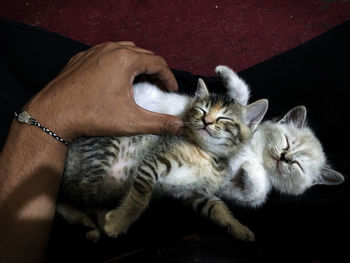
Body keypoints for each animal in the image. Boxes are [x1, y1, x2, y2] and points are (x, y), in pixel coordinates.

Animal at [59, 75, 268, 242]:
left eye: (224, 118)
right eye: (201, 110)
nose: (206, 121)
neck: (206, 154)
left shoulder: (193, 193)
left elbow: (217, 208)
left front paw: (239, 228)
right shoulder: (153, 160)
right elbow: (139, 196)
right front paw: (119, 221)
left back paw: (90, 224)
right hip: (104, 150)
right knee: (79, 194)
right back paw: (99, 219)